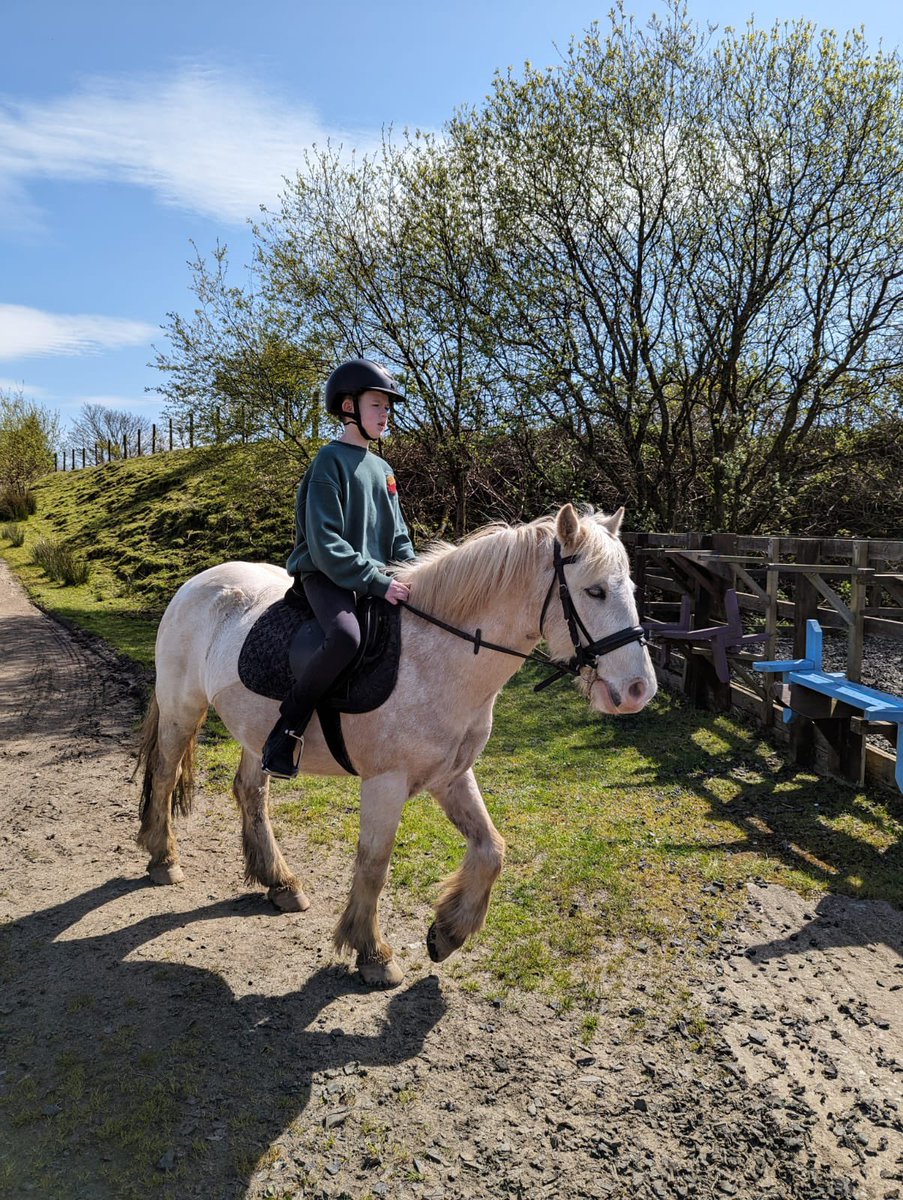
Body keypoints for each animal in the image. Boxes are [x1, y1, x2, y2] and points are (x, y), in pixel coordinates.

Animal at [133, 504, 658, 984]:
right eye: (594, 590)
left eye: (629, 590)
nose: (639, 690)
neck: (439, 658)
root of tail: (196, 583)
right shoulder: (386, 783)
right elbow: (374, 865)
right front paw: (371, 952)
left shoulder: (452, 775)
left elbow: (492, 849)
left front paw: (448, 932)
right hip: (182, 709)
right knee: (164, 773)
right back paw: (163, 858)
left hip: (257, 731)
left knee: (250, 793)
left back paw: (279, 882)